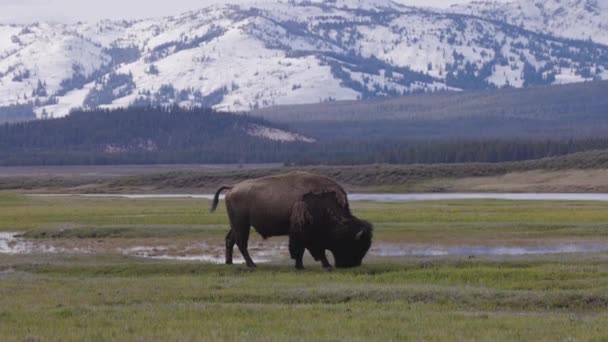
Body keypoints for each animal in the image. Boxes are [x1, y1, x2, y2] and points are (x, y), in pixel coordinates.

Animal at [209, 172, 372, 268]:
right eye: (354, 244)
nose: (353, 264)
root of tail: (233, 187)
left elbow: (307, 250)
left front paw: (308, 265)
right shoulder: (303, 233)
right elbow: (304, 249)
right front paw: (313, 266)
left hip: (238, 224)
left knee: (230, 239)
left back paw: (229, 262)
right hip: (242, 224)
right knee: (241, 243)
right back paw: (252, 264)